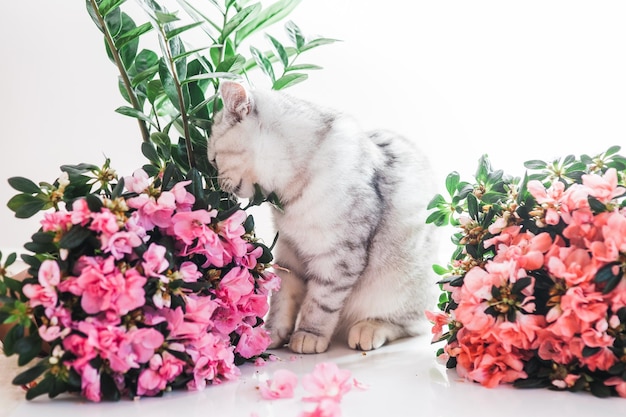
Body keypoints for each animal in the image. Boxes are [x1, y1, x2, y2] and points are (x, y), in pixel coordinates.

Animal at [207, 80, 436, 352]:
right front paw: (271, 333)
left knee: (412, 324)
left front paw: (309, 334)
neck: (288, 198)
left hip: (399, 283)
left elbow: (320, 303)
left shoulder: (338, 255)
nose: (216, 182)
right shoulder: (289, 251)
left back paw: (369, 328)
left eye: (214, 159)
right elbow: (283, 299)